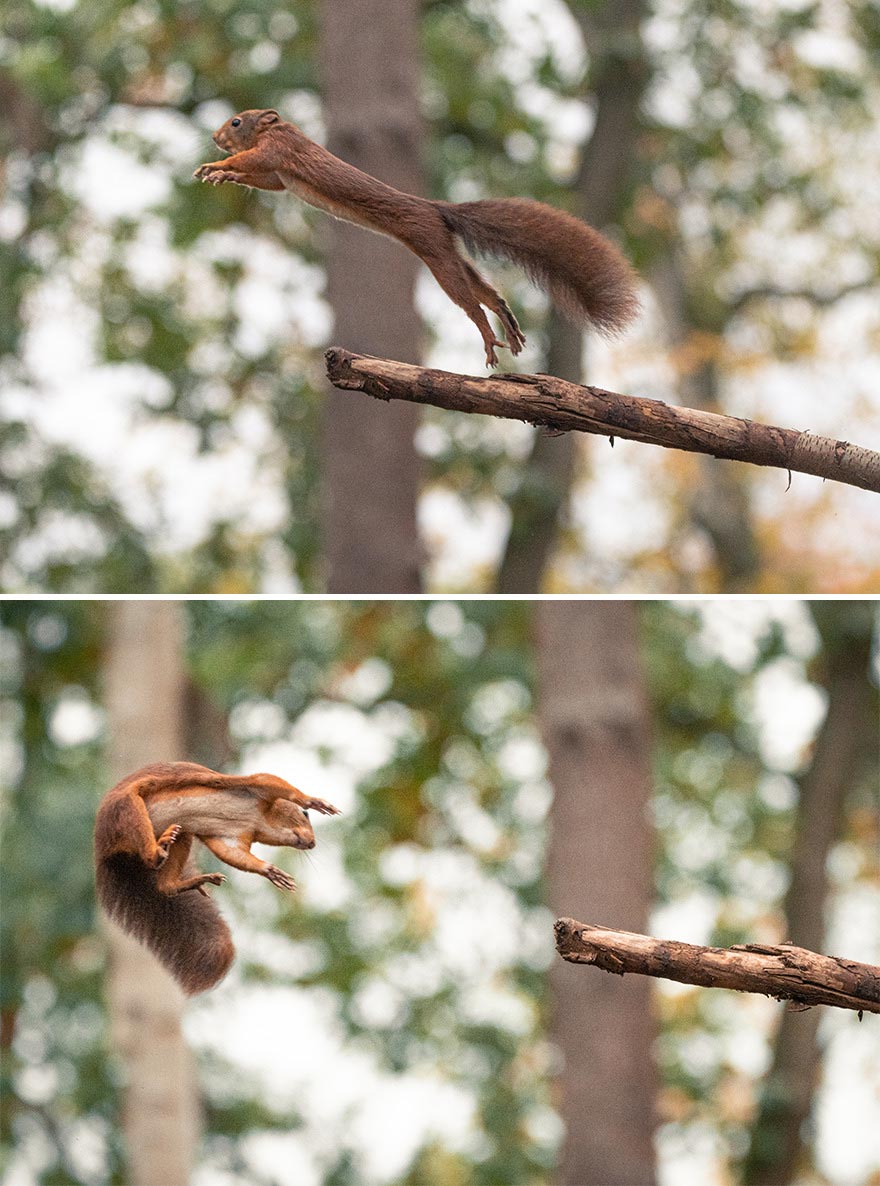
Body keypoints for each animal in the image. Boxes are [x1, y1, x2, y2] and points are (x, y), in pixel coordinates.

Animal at [94, 761, 339, 994]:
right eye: (304, 815)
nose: (312, 843)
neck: (261, 822)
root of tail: (104, 849)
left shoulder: (230, 838)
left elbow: (235, 855)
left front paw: (269, 870)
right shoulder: (253, 790)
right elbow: (268, 780)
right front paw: (314, 802)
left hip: (183, 833)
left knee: (165, 886)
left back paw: (193, 880)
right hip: (128, 811)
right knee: (143, 836)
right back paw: (158, 850)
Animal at [194, 108, 640, 368]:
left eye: (237, 121)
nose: (215, 137)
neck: (284, 129)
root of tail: (436, 208)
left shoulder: (277, 151)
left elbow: (254, 161)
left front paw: (215, 166)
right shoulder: (278, 174)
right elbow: (265, 180)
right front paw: (222, 174)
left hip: (436, 255)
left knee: (470, 303)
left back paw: (490, 339)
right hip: (447, 251)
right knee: (487, 291)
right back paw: (509, 328)